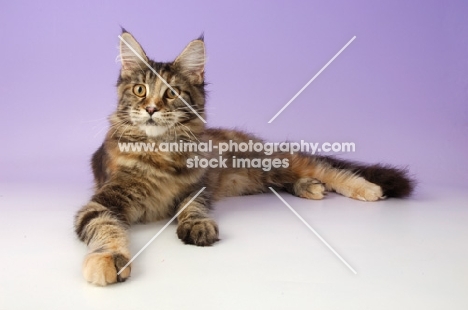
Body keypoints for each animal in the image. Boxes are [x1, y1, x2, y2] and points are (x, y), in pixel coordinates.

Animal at [74, 29, 414, 286]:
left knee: (325, 168)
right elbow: (107, 227)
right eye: (140, 90)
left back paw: (366, 189)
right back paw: (309, 187)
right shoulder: (102, 203)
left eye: (171, 93)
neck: (161, 151)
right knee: (289, 180)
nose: (151, 109)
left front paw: (197, 225)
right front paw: (108, 260)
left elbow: (191, 207)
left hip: (270, 161)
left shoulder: (197, 188)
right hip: (261, 176)